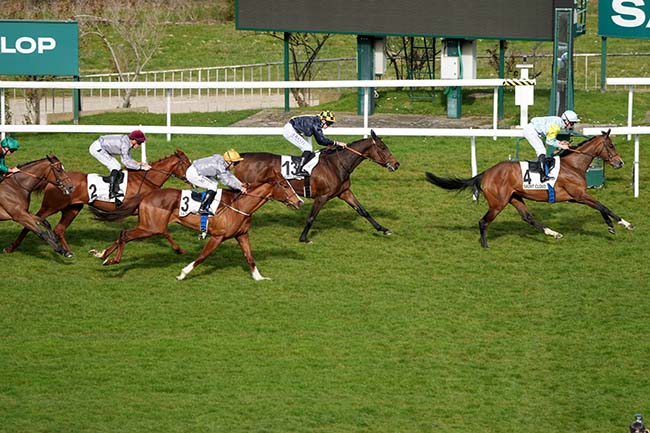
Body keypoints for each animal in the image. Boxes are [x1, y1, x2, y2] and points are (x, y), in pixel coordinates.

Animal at [3, 150, 191, 255]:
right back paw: (11, 247)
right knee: (31, 222)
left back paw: (68, 251)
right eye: (187, 163)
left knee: (58, 229)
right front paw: (179, 249)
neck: (145, 180)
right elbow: (163, 230)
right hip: (51, 206)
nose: (192, 178)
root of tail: (54, 182)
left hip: (73, 208)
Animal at [88, 169, 302, 280]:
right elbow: (202, 256)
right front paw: (183, 273)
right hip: (151, 228)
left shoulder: (242, 235)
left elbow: (249, 257)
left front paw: (259, 277)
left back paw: (103, 255)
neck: (239, 205)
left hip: (148, 227)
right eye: (285, 185)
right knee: (124, 234)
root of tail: (147, 195)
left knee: (122, 234)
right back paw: (112, 260)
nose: (299, 201)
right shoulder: (218, 236)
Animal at [232, 128, 394, 243]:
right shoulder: (322, 196)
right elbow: (311, 217)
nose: (396, 164)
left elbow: (363, 211)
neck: (335, 164)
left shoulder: (344, 192)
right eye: (383, 148)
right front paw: (303, 238)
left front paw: (383, 229)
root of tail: (242, 157)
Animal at [426, 128, 632, 248]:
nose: (620, 162)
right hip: (498, 203)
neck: (573, 165)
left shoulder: (576, 197)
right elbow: (603, 206)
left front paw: (611, 227)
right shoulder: (579, 194)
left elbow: (600, 207)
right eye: (611, 145)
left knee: (528, 217)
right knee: (483, 222)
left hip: (515, 197)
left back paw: (553, 233)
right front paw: (625, 224)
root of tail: (485, 173)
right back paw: (485, 246)